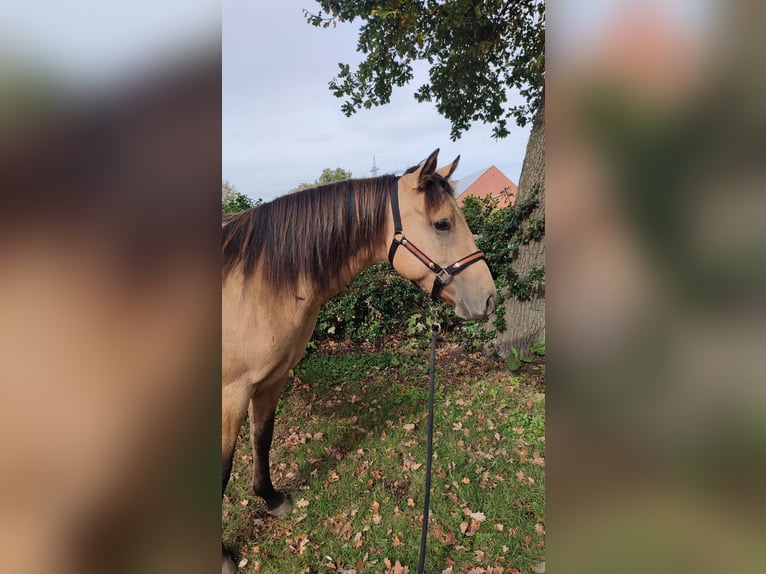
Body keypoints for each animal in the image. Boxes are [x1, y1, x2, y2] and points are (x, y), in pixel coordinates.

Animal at [222, 148, 498, 572]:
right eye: (442, 224)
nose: (489, 298)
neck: (254, 284)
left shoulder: (271, 380)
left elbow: (262, 439)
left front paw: (271, 498)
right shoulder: (231, 393)